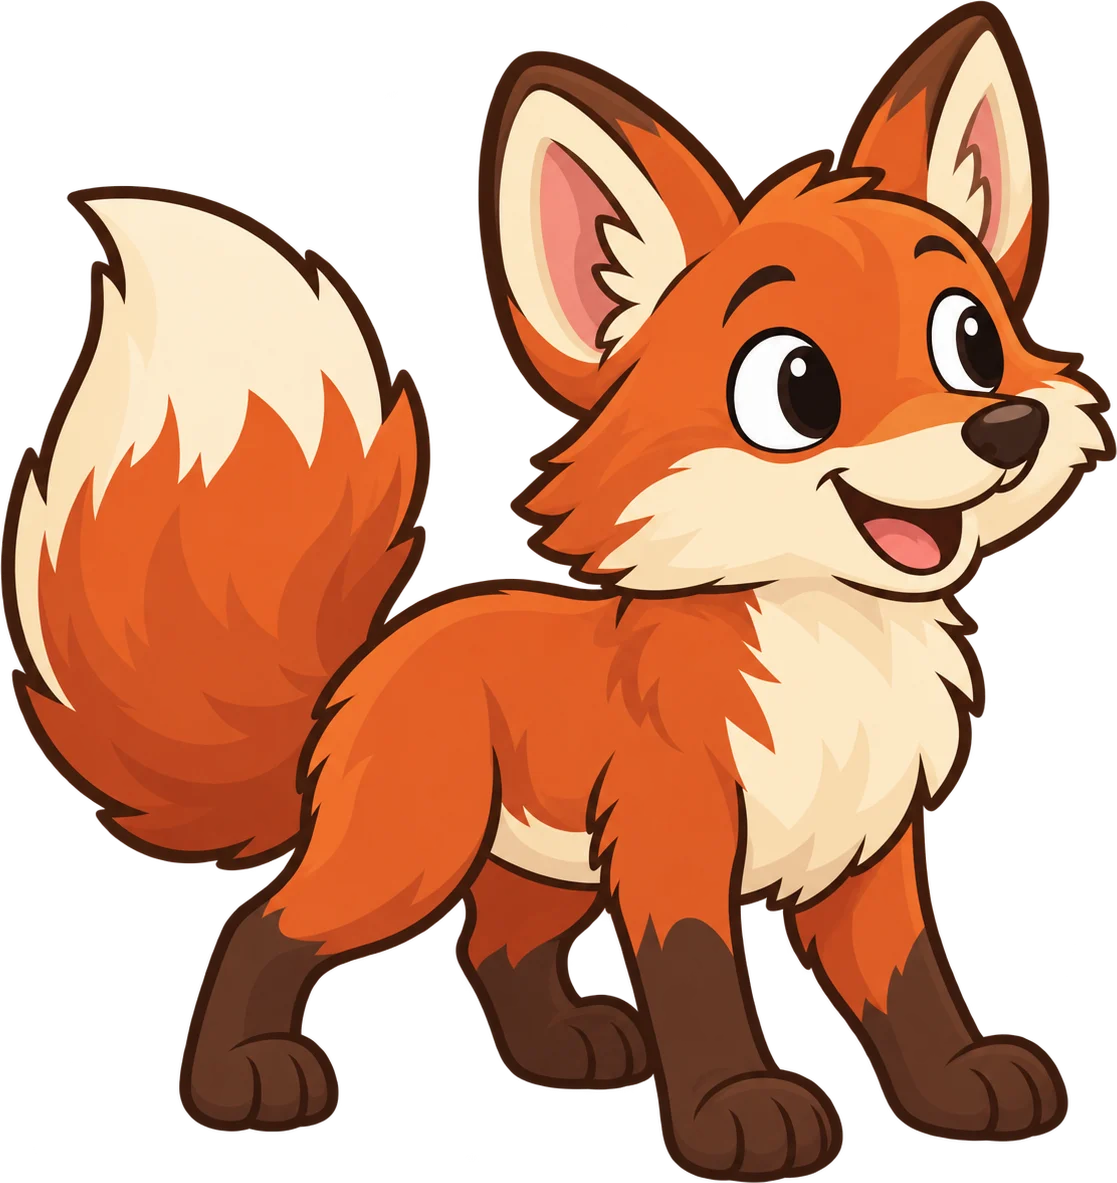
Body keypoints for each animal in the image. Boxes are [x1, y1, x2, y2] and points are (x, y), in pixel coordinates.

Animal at [2, 2, 1109, 1177]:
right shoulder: (673, 844)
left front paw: (954, 1087)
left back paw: (563, 1048)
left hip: (543, 868)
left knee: (493, 947)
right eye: (796, 386)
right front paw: (734, 1111)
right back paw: (241, 1077)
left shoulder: (871, 852)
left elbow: (911, 994)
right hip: (409, 854)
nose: (1006, 426)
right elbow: (699, 983)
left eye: (972, 339)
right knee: (269, 926)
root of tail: (364, 662)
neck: (828, 646)